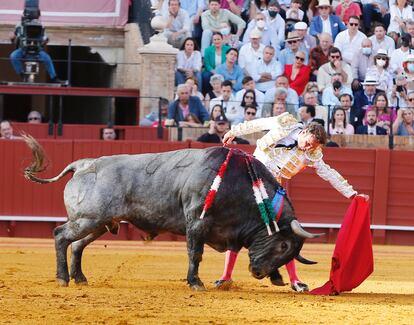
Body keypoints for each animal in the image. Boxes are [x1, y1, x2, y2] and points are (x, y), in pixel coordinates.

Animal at [22, 135, 318, 290]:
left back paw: (80, 278)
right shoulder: (196, 222)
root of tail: (84, 163)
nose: (258, 273)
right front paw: (195, 283)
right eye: (283, 245)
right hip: (88, 219)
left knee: (77, 245)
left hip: (99, 223)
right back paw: (63, 278)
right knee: (61, 235)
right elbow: (195, 253)